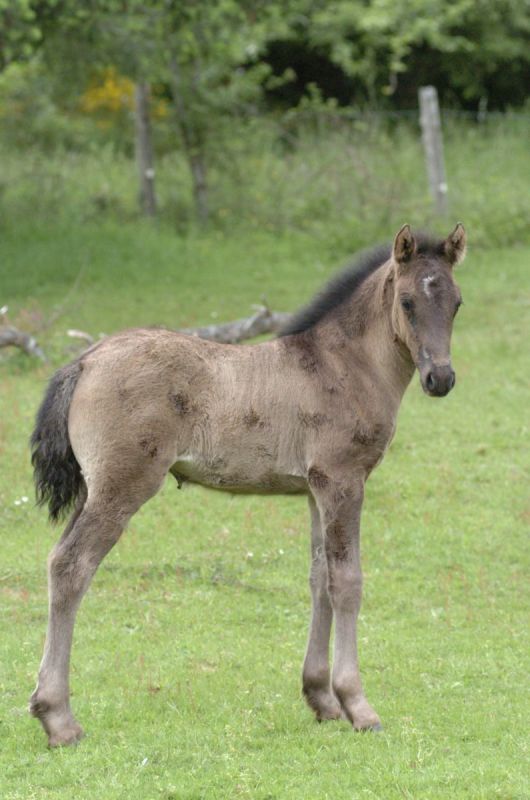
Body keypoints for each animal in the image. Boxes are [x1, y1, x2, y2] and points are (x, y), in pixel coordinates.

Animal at [29, 223, 466, 746]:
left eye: (457, 302)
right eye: (406, 301)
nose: (440, 378)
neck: (343, 365)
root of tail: (85, 362)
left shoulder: (317, 489)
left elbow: (319, 578)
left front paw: (322, 699)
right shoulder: (343, 480)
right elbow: (348, 582)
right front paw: (358, 705)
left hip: (94, 489)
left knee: (57, 558)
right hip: (121, 488)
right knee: (73, 566)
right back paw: (59, 719)